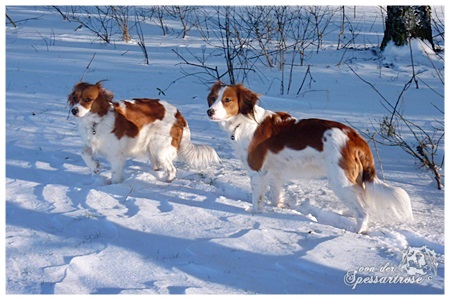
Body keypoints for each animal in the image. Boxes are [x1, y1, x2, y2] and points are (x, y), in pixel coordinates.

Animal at [68, 80, 220, 183]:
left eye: (88, 99)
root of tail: (178, 113)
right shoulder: (94, 143)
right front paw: (95, 166)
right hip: (151, 148)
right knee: (158, 166)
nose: (74, 110)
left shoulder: (117, 155)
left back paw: (165, 182)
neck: (96, 121)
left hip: (160, 148)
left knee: (172, 169)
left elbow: (115, 175)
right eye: (75, 98)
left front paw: (114, 188)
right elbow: (84, 152)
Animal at [206, 81, 414, 232]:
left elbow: (257, 199)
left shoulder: (258, 172)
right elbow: (276, 195)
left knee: (363, 213)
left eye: (227, 100)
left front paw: (255, 215)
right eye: (213, 98)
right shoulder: (275, 172)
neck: (245, 122)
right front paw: (277, 208)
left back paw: (357, 232)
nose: (209, 111)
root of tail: (355, 138)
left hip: (340, 181)